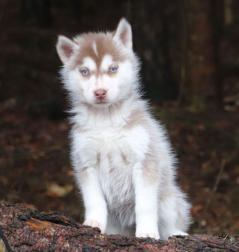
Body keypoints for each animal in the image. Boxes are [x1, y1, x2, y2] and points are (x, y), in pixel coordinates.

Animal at [56, 18, 190, 240]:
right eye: (84, 72)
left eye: (112, 68)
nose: (100, 92)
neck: (107, 121)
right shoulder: (86, 163)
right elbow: (94, 201)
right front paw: (93, 223)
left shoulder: (144, 161)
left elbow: (145, 204)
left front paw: (147, 232)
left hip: (170, 200)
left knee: (171, 222)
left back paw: (177, 233)